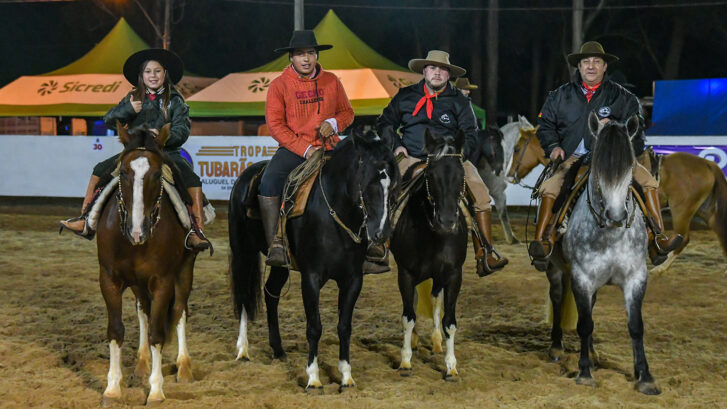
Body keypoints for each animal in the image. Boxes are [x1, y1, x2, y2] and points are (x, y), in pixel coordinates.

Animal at [96, 122, 196, 404]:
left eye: (156, 174)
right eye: (124, 173)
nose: (137, 230)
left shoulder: (162, 282)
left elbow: (157, 333)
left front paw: (156, 391)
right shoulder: (109, 279)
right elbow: (116, 330)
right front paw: (112, 389)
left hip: (184, 272)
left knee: (180, 310)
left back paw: (183, 367)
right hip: (138, 284)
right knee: (144, 311)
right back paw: (141, 364)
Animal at [229, 129, 400, 390]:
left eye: (394, 184)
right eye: (368, 180)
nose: (380, 233)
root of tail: (246, 175)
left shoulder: (353, 279)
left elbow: (344, 326)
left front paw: (346, 375)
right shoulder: (310, 278)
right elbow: (314, 327)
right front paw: (313, 376)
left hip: (281, 264)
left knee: (270, 293)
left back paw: (278, 349)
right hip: (242, 250)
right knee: (245, 294)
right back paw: (243, 349)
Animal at [396, 129, 470, 380]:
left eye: (460, 174)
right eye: (431, 175)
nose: (447, 221)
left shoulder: (454, 275)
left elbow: (450, 321)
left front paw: (451, 366)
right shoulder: (406, 273)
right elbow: (408, 317)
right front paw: (406, 361)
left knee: (436, 300)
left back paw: (437, 342)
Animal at [512, 124, 727, 272]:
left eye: (516, 149)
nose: (511, 174)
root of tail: (709, 165)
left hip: (681, 210)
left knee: (683, 238)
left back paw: (659, 268)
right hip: (705, 210)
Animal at [548, 113, 664, 394]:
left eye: (629, 168)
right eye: (599, 170)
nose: (616, 215)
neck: (610, 234)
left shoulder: (636, 277)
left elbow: (636, 326)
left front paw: (645, 376)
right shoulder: (581, 277)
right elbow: (584, 324)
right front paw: (584, 373)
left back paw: (591, 354)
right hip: (556, 268)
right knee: (558, 299)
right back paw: (556, 347)